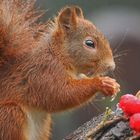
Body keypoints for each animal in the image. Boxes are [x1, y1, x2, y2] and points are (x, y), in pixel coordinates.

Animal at [0, 0, 120, 140]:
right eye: (90, 43)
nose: (111, 66)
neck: (58, 54)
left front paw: (113, 84)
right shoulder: (44, 72)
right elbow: (62, 94)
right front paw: (100, 83)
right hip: (10, 115)